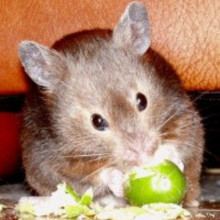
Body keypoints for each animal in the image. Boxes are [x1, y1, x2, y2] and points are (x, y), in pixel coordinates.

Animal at [18, 1, 204, 207]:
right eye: (97, 122)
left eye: (142, 101)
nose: (144, 155)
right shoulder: (57, 157)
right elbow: (94, 174)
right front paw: (119, 181)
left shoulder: (183, 114)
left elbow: (178, 142)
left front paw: (165, 157)